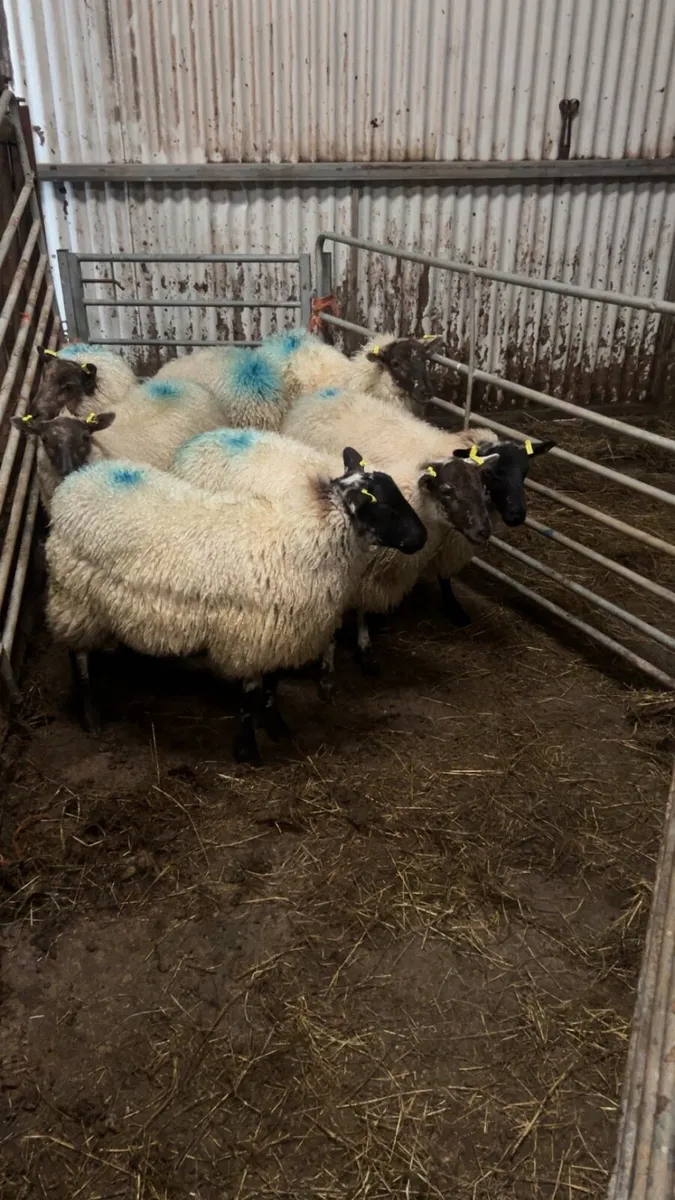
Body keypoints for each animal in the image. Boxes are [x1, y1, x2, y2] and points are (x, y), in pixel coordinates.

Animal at [45, 449, 427, 761]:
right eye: (386, 507)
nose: (422, 538)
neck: (301, 540)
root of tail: (77, 480)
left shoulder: (279, 629)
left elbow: (272, 685)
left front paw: (276, 726)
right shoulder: (249, 635)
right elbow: (248, 696)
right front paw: (248, 750)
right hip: (73, 598)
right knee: (78, 656)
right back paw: (90, 715)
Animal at [282, 388, 498, 676]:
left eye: (481, 485)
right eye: (447, 490)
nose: (484, 530)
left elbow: (363, 612)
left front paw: (366, 646)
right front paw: (336, 660)